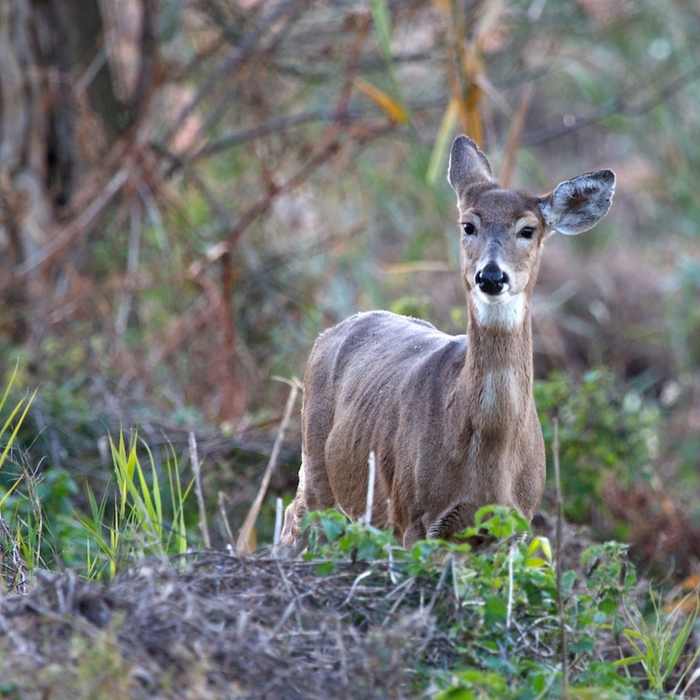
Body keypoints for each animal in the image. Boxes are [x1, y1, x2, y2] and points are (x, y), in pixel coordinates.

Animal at [281, 135, 615, 548]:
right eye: (468, 225)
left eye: (528, 229)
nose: (491, 276)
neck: (491, 453)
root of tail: (328, 334)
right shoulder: (413, 514)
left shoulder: (515, 523)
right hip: (317, 464)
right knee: (294, 516)